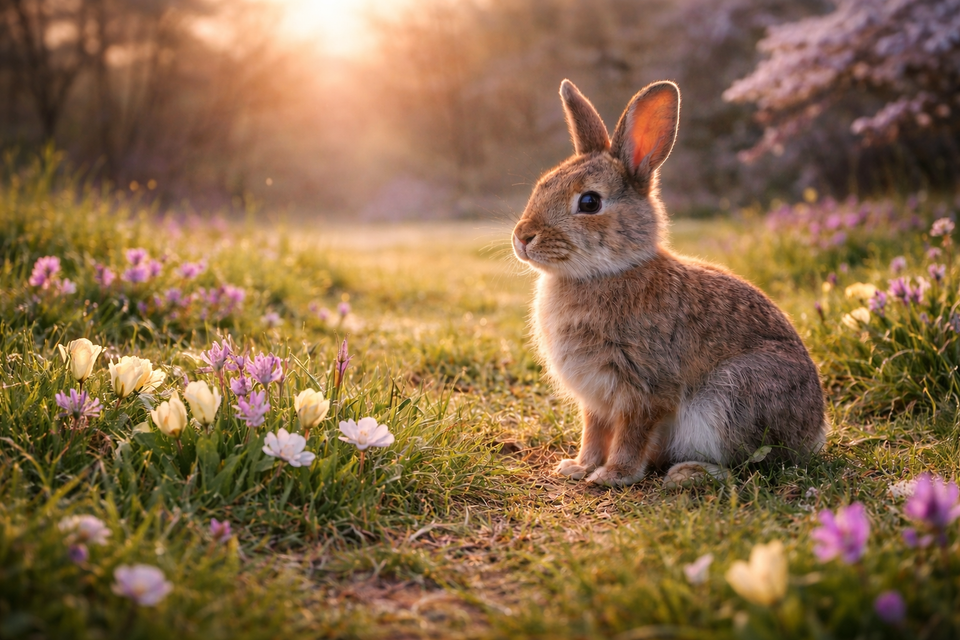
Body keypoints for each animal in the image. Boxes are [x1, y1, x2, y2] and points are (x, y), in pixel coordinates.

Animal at [512, 79, 827, 487]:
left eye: (590, 202)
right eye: (542, 185)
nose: (522, 237)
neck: (605, 272)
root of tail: (815, 431)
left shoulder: (645, 388)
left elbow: (631, 434)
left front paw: (612, 475)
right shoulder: (595, 399)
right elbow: (593, 432)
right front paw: (578, 467)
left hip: (731, 397)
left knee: (755, 464)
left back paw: (687, 474)